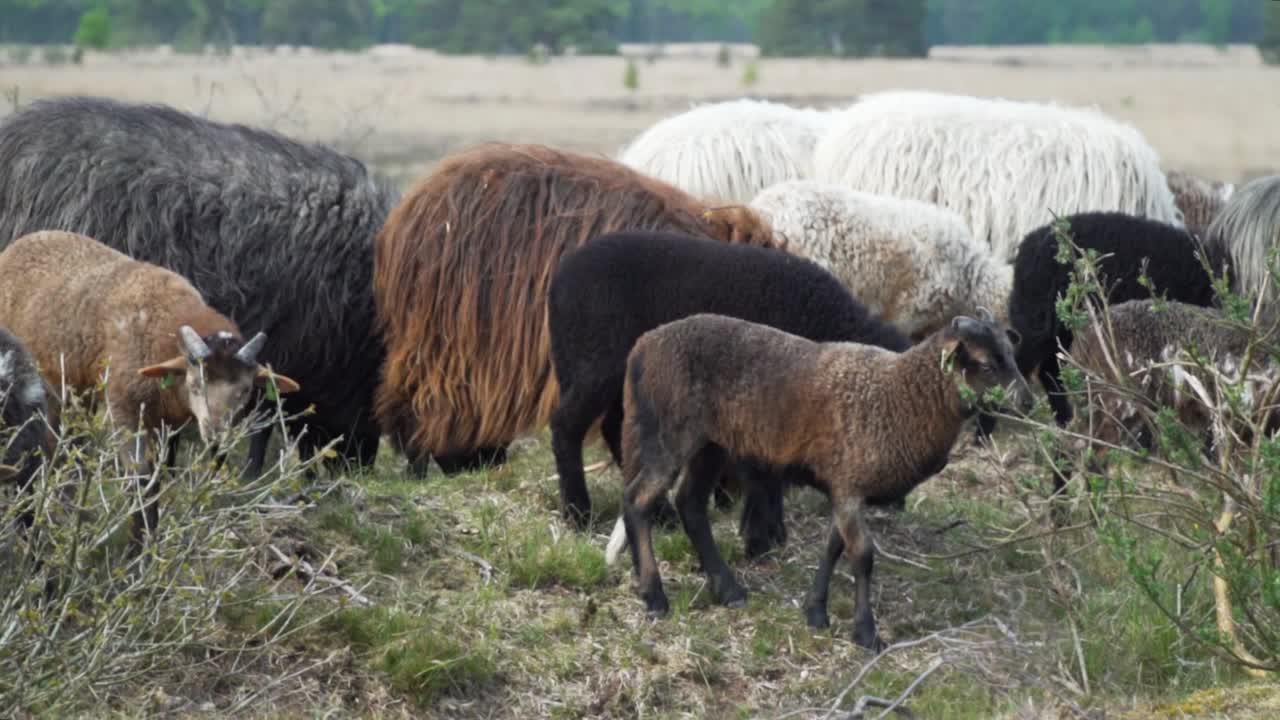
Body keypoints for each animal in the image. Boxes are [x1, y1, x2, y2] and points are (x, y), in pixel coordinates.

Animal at [547, 230, 911, 556]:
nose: (899, 502)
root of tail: (559, 280)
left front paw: (768, 531)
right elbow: (764, 470)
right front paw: (762, 534)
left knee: (616, 429)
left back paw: (660, 514)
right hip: (597, 363)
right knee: (566, 425)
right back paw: (578, 512)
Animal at [618, 308, 1032, 649]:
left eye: (1012, 356)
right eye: (986, 365)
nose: (1028, 403)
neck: (900, 396)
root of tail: (642, 346)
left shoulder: (844, 484)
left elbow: (834, 547)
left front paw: (816, 612)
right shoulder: (848, 486)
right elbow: (861, 554)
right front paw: (865, 633)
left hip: (711, 445)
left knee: (689, 504)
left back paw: (728, 589)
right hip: (671, 435)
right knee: (638, 500)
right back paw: (654, 596)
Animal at [1008, 211, 1224, 431]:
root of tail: (1028, 243)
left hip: (1062, 330)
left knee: (1050, 371)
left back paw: (1065, 421)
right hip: (1037, 323)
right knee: (1021, 362)